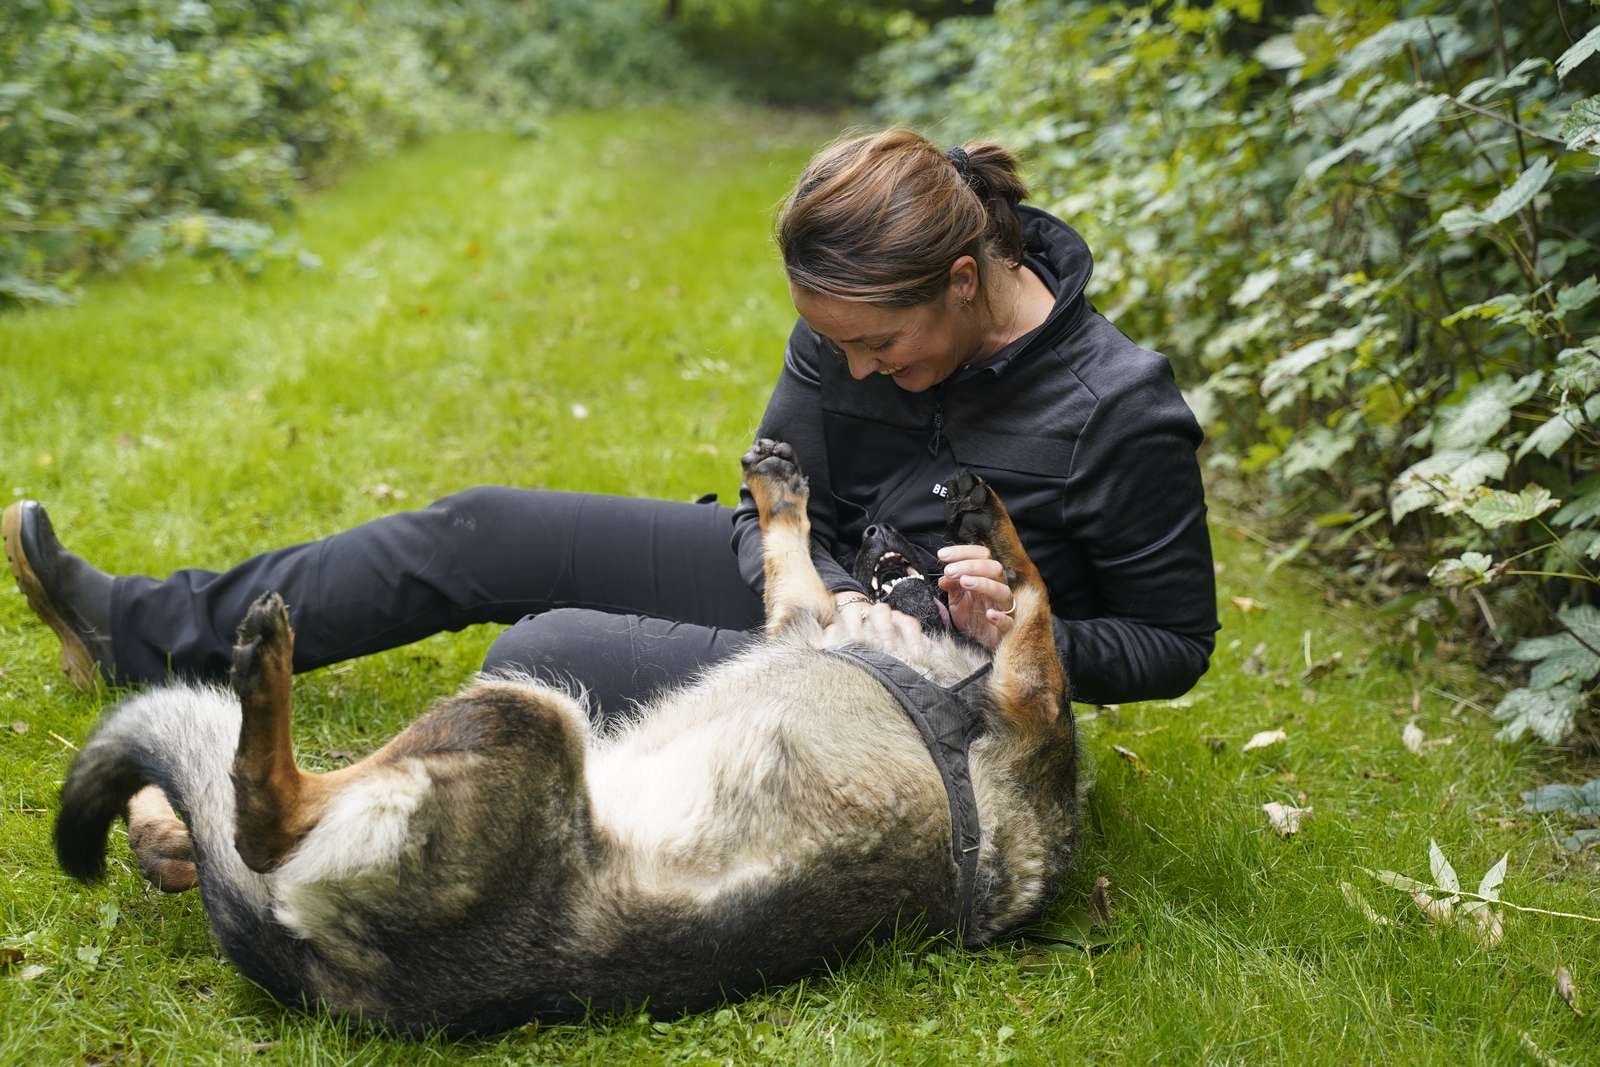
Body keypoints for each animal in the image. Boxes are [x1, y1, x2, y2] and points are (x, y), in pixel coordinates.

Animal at [53, 441, 1075, 1036]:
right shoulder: (804, 618)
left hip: (527, 710)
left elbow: (1034, 588)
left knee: (264, 816)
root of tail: (330, 977)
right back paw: (164, 816)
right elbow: (794, 557)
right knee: (242, 816)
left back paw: (259, 677)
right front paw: (781, 491)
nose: (870, 526)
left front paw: (990, 522)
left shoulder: (1028, 689)